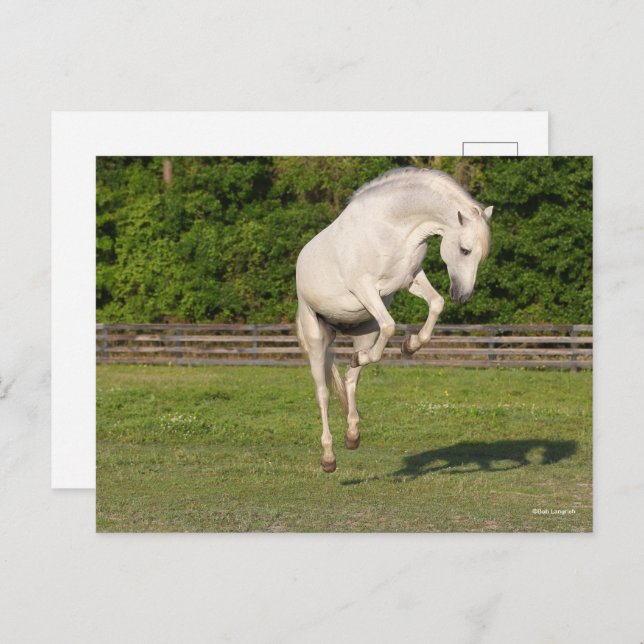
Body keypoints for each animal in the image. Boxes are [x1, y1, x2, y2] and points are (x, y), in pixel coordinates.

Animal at [295, 167, 493, 473]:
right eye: (464, 250)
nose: (463, 296)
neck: (391, 228)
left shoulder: (408, 279)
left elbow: (436, 304)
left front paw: (410, 345)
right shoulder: (365, 289)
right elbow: (390, 325)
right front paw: (403, 346)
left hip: (363, 329)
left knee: (351, 378)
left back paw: (353, 434)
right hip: (316, 335)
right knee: (323, 394)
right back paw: (328, 458)